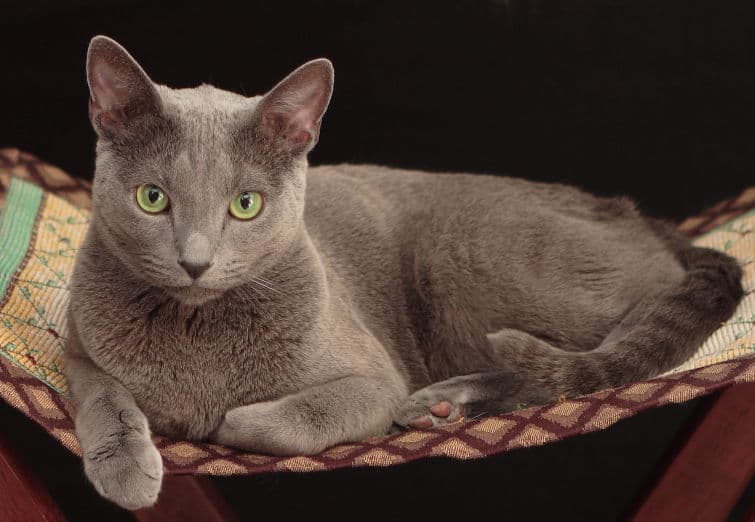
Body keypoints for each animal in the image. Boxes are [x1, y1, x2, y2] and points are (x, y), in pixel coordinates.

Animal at [66, 36, 744, 508]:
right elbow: (100, 395)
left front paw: (232, 420)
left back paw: (443, 402)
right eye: (153, 198)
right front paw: (126, 468)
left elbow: (299, 419)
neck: (194, 329)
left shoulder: (372, 378)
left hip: (465, 250)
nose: (195, 261)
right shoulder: (77, 347)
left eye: (246, 205)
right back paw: (444, 407)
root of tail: (639, 215)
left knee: (608, 344)